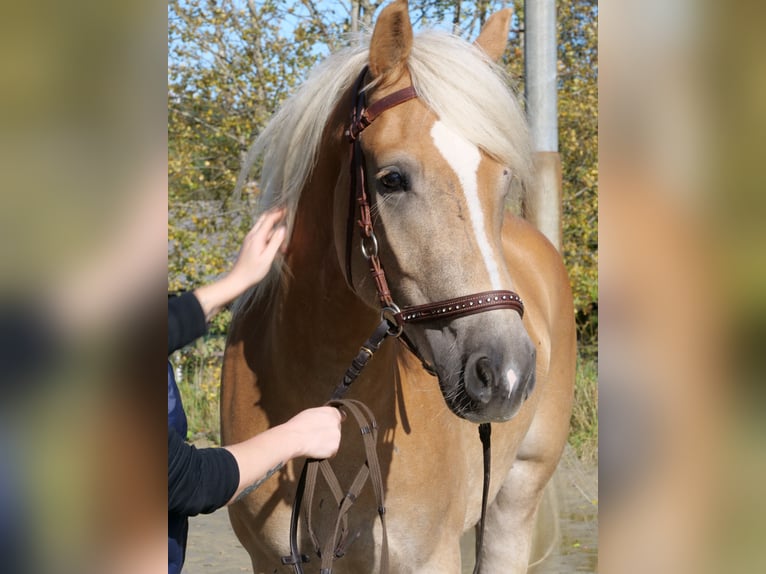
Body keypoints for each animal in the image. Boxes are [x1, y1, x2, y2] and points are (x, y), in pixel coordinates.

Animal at [222, 2, 576, 572]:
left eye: (501, 181)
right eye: (391, 180)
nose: (506, 373)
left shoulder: (429, 557)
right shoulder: (270, 560)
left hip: (517, 495)